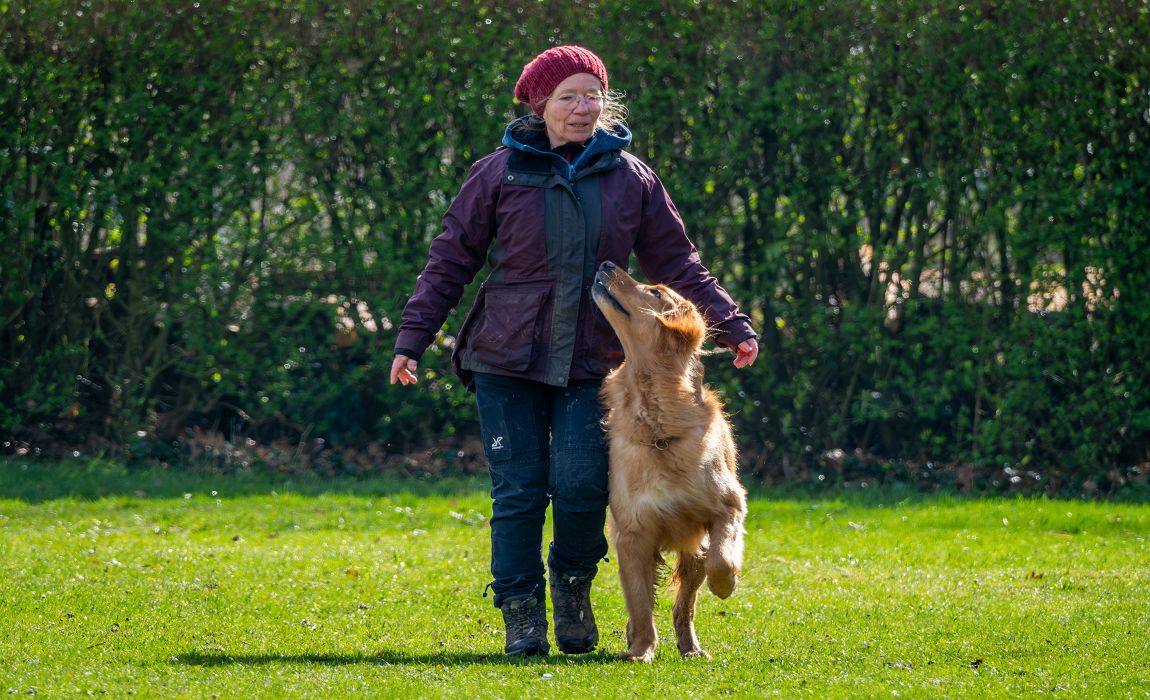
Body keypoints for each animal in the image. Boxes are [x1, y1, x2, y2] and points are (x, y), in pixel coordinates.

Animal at [593, 257, 745, 662]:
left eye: (656, 292)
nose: (606, 262)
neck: (658, 427)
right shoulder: (632, 533)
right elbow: (640, 602)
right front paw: (641, 649)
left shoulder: (729, 505)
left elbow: (722, 557)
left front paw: (725, 585)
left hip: (693, 551)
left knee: (684, 605)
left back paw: (690, 646)